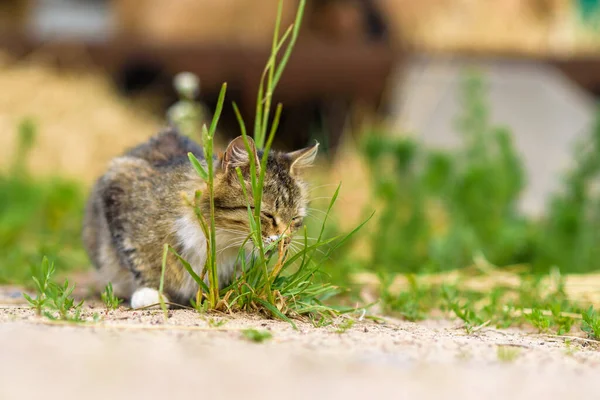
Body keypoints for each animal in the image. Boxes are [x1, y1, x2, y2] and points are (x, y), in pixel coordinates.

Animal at [85, 128, 322, 310]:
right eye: (267, 215)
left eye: (294, 219)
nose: (285, 240)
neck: (220, 237)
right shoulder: (120, 186)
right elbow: (140, 258)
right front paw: (150, 292)